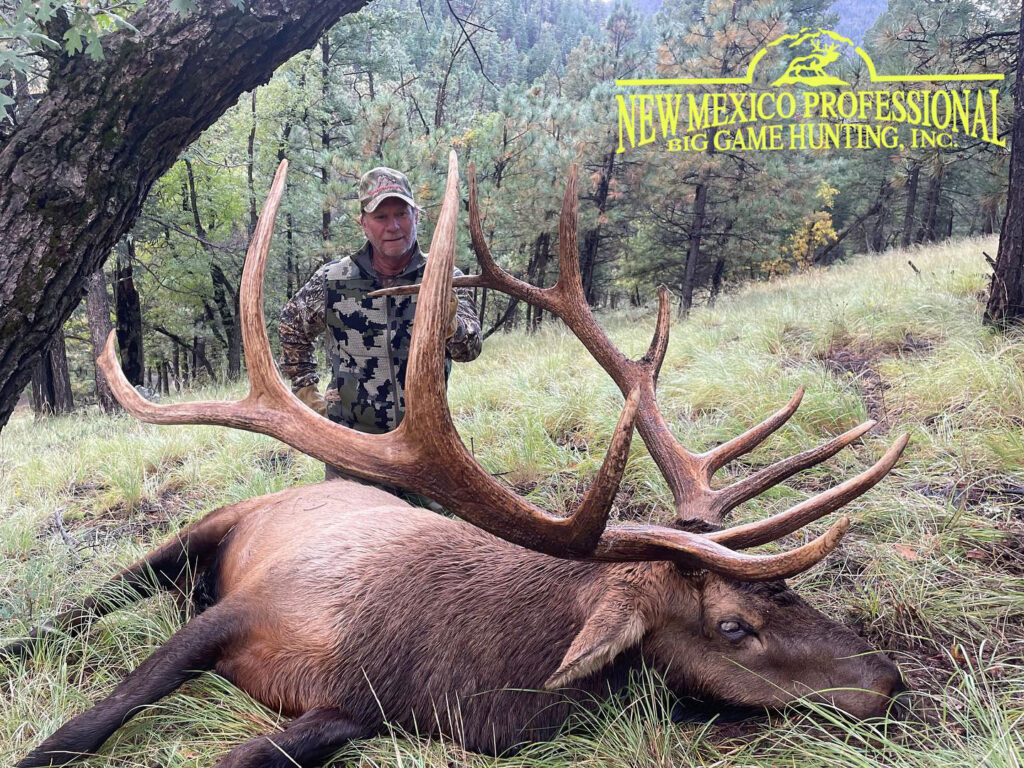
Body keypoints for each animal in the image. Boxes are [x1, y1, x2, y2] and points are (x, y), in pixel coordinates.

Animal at [8, 152, 910, 768]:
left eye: (791, 590)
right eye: (732, 626)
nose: (889, 680)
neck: (443, 673)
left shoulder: (354, 711)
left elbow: (254, 754)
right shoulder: (245, 607)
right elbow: (91, 720)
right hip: (208, 526)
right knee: (99, 596)